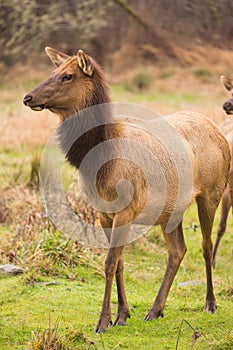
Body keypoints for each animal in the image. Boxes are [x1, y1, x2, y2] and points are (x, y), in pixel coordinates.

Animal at [23, 47, 229, 332]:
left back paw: (210, 303)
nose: (28, 97)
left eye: (67, 75)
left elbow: (109, 263)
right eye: (53, 71)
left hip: (212, 192)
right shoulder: (103, 213)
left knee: (206, 245)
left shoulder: (126, 210)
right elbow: (119, 263)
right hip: (171, 208)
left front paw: (103, 321)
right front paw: (122, 315)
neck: (100, 163)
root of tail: (217, 131)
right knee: (178, 250)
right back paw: (155, 309)